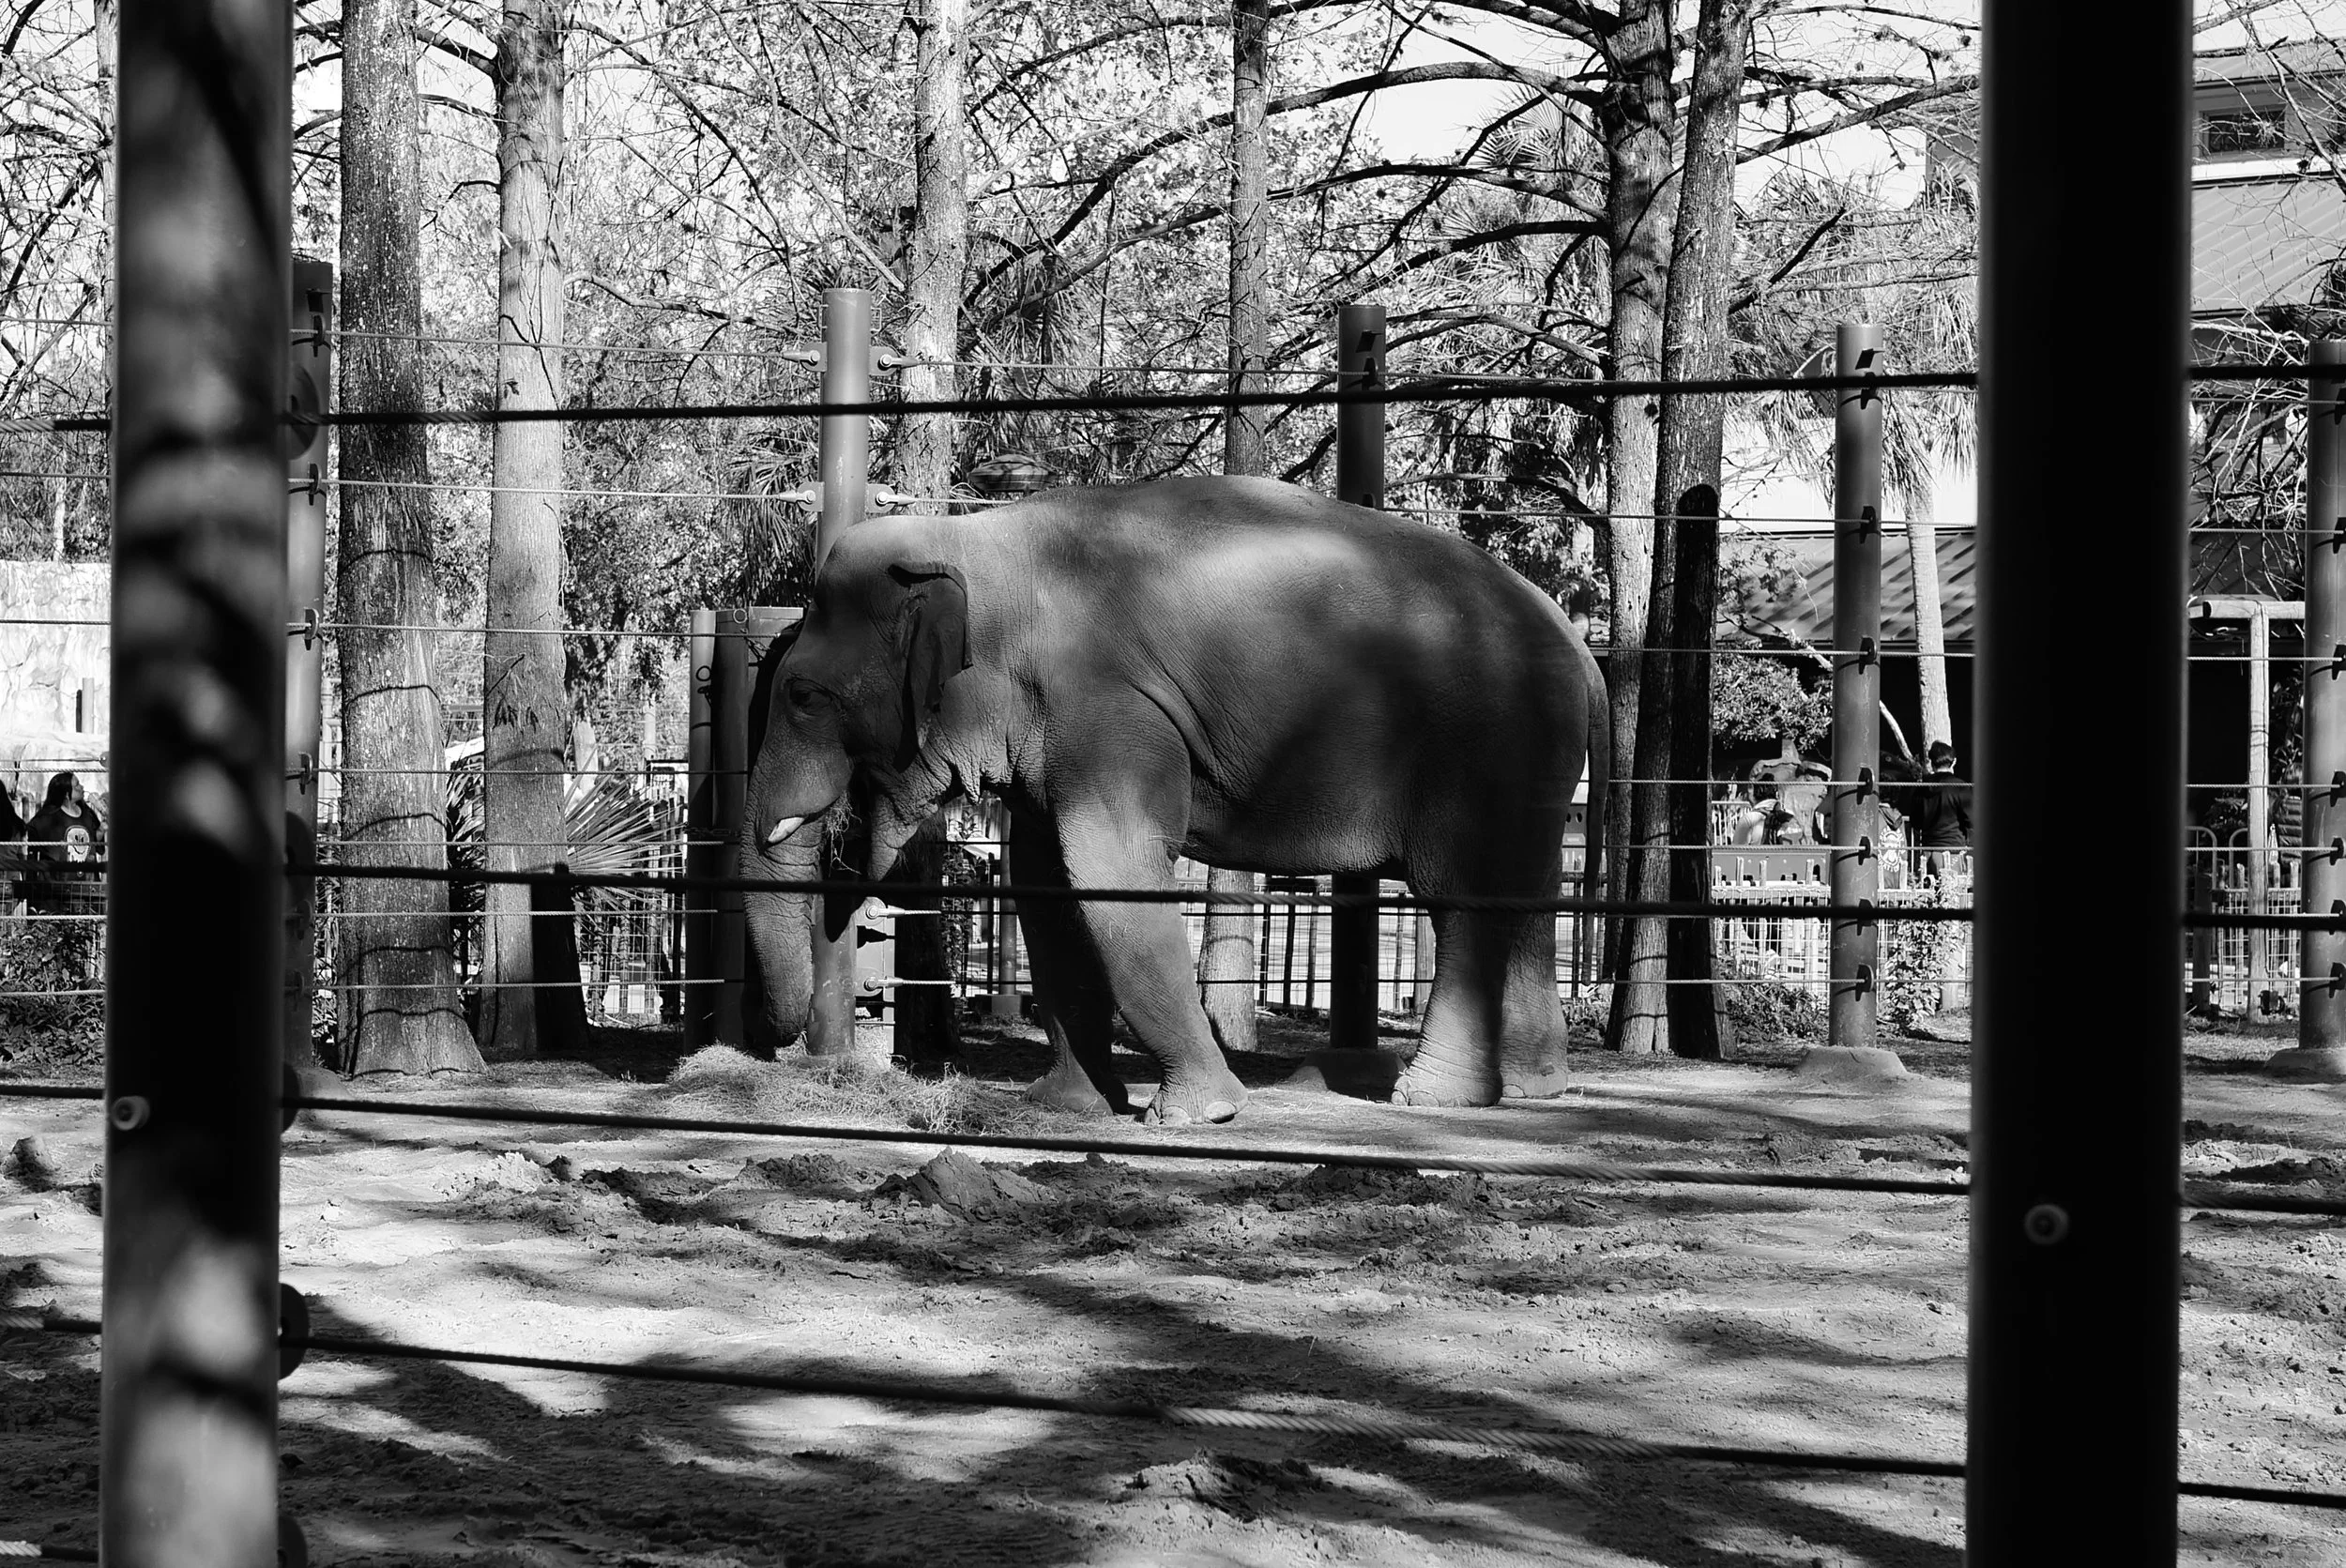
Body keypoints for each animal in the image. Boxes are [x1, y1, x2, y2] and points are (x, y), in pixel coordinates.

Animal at [739, 474, 1609, 1124]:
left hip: (1485, 744)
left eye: (805, 696)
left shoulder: (1107, 710)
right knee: (1526, 898)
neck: (973, 541)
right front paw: (1062, 1107)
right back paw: (1532, 1086)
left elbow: (1111, 874)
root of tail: (1579, 645)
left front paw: (1196, 1114)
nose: (784, 1047)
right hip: (1530, 765)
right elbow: (1046, 888)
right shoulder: (1050, 736)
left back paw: (1430, 1096)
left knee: (1462, 899)